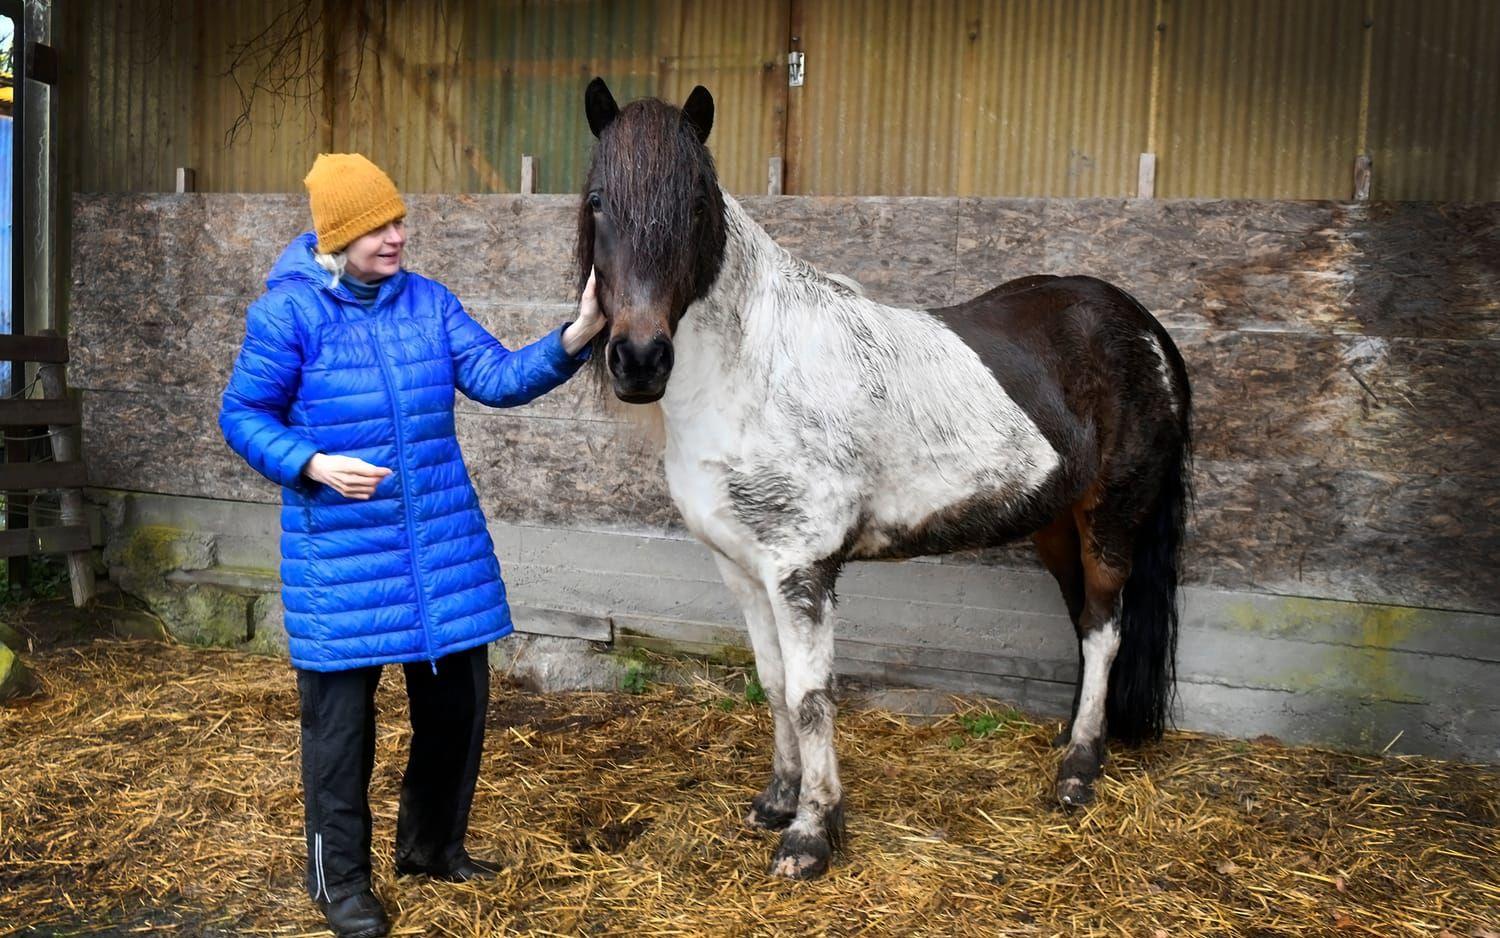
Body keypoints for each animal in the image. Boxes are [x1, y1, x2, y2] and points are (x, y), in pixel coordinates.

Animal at [573, 75, 1194, 876]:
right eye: (597, 200)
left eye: (697, 205)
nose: (640, 360)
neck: (752, 371)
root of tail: (1141, 324)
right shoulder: (743, 570)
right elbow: (773, 683)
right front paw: (777, 801)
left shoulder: (801, 570)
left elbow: (811, 696)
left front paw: (811, 833)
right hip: (1056, 525)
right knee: (1085, 621)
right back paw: (1073, 740)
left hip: (1112, 517)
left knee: (1105, 629)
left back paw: (1078, 771)